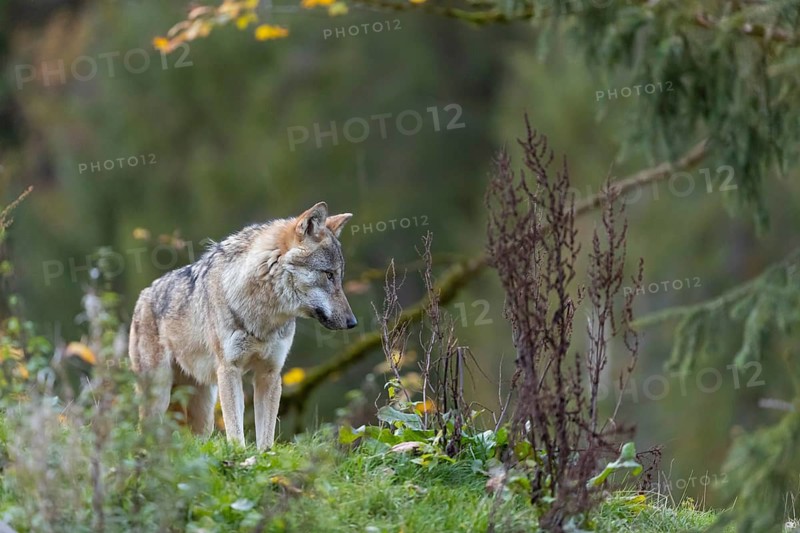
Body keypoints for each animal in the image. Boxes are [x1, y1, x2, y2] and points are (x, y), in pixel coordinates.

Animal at [128, 202, 356, 450]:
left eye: (339, 276)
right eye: (328, 275)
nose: (353, 322)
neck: (263, 315)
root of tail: (143, 296)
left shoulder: (270, 373)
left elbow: (266, 437)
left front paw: (263, 455)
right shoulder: (230, 369)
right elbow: (235, 432)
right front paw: (240, 454)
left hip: (203, 411)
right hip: (160, 394)